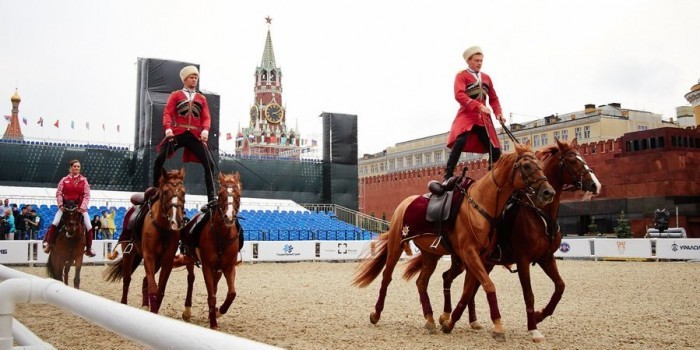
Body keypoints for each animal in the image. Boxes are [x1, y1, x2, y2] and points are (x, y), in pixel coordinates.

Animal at [103, 168, 186, 314]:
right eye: (165, 192)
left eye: (184, 192)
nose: (177, 221)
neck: (163, 228)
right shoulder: (148, 257)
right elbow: (153, 289)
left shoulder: (167, 261)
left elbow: (160, 291)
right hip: (129, 254)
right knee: (127, 279)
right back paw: (124, 303)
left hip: (156, 262)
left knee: (144, 281)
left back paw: (145, 305)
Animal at [178, 171, 243, 330]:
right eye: (221, 194)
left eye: (238, 194)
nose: (229, 217)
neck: (221, 236)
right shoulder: (207, 266)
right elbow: (211, 296)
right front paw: (213, 323)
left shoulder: (229, 267)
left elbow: (231, 293)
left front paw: (218, 312)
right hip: (189, 258)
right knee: (191, 279)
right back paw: (187, 311)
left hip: (218, 269)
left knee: (215, 284)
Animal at [352, 141, 556, 340]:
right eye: (527, 166)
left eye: (540, 164)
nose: (548, 192)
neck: (480, 205)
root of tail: (404, 203)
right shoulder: (470, 254)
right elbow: (488, 285)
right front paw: (497, 326)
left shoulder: (479, 258)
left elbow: (469, 291)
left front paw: (450, 322)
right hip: (396, 246)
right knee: (387, 277)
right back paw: (376, 314)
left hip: (430, 255)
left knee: (421, 282)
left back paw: (430, 319)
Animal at [404, 139, 600, 342]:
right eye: (572, 161)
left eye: (584, 157)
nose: (595, 185)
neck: (540, 214)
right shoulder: (523, 260)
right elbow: (528, 294)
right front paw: (533, 327)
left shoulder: (546, 258)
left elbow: (560, 287)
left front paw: (540, 315)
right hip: (468, 261)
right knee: (452, 280)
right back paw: (448, 317)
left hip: (480, 263)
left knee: (464, 285)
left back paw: (466, 320)